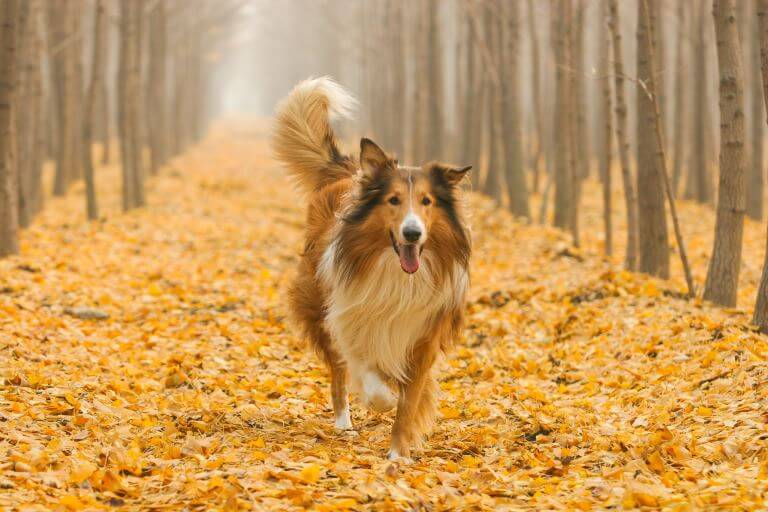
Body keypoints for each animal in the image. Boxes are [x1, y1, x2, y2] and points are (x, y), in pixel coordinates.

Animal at [272, 77, 472, 460]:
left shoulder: (422, 337)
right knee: (338, 374)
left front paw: (398, 454)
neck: (397, 276)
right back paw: (344, 422)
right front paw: (382, 400)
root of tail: (349, 169)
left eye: (426, 201)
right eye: (393, 200)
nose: (412, 233)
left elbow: (409, 402)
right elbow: (369, 376)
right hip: (319, 307)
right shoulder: (352, 320)